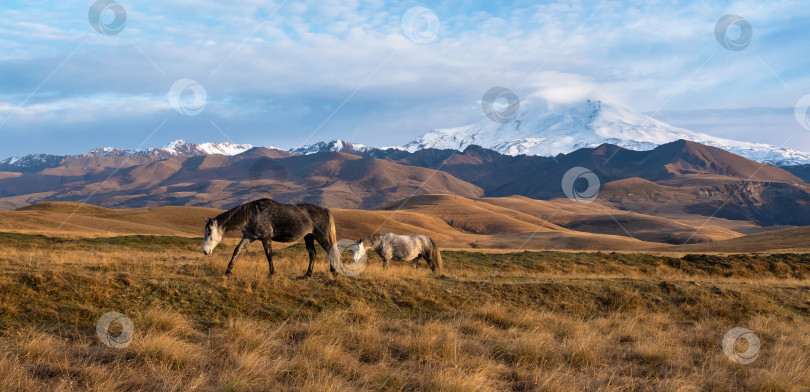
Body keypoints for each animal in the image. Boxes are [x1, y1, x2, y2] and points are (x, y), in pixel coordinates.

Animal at [205, 199, 340, 278]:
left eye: (210, 232)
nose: (205, 251)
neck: (252, 214)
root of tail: (323, 210)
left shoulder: (266, 238)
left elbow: (269, 254)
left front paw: (271, 273)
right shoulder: (249, 237)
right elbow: (237, 250)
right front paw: (228, 270)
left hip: (321, 236)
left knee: (330, 250)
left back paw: (334, 272)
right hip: (309, 237)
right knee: (312, 253)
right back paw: (307, 274)